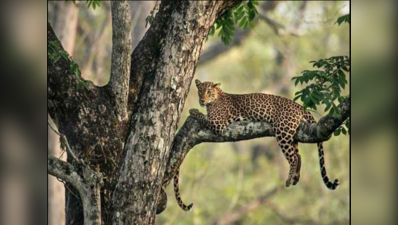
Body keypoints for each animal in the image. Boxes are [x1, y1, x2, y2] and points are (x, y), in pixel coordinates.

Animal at [188, 79, 338, 190]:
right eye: (200, 91)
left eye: (208, 91)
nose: (202, 100)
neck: (215, 98)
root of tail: (299, 106)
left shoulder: (217, 124)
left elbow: (203, 118)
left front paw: (193, 110)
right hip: (291, 134)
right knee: (298, 155)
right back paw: (296, 178)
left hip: (283, 132)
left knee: (293, 157)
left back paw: (289, 180)